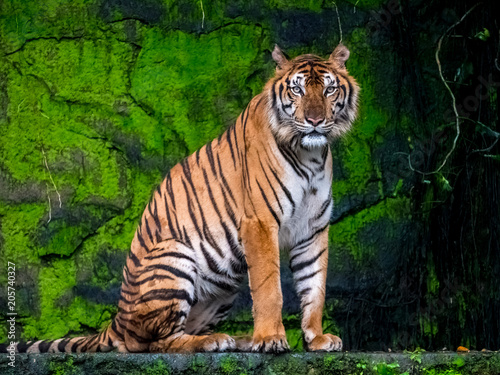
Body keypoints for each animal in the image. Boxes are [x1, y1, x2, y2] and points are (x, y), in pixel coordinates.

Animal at [11, 42, 360, 354]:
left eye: (329, 90)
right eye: (297, 90)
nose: (314, 121)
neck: (311, 155)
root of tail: (117, 320)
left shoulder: (313, 228)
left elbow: (315, 286)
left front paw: (316, 338)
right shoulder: (260, 222)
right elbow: (269, 287)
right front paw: (271, 339)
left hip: (224, 288)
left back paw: (236, 339)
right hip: (175, 257)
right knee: (150, 343)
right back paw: (215, 342)